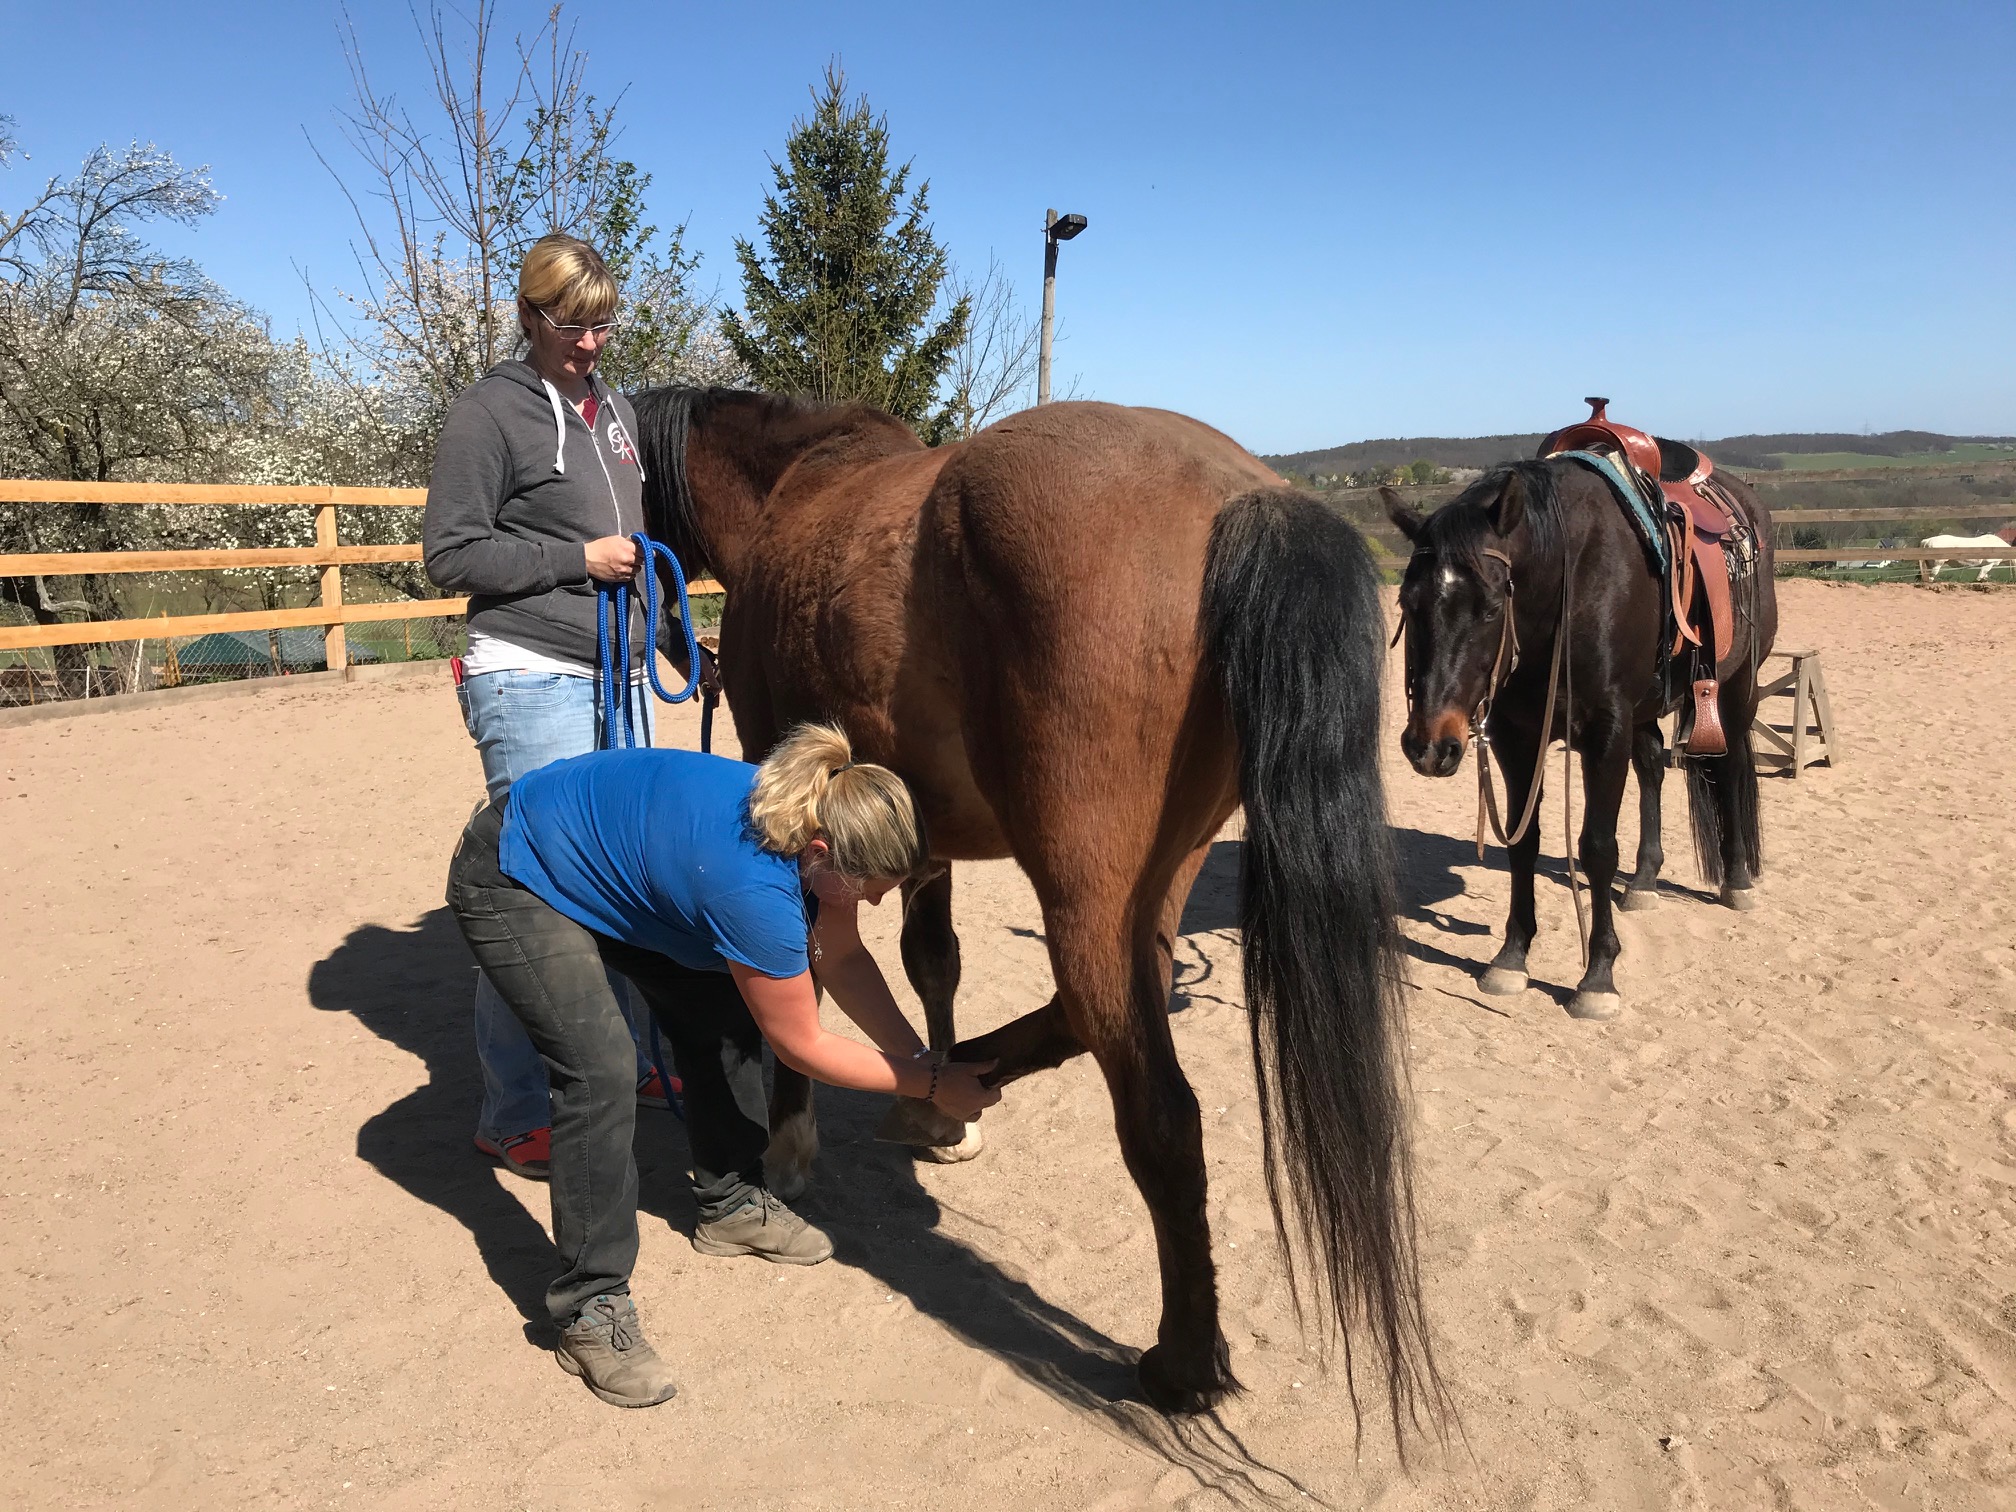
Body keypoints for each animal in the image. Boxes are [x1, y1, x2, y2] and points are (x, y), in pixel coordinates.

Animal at [637, 387, 1443, 1435]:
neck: (799, 484)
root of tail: (1241, 497)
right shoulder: (921, 830)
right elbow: (932, 957)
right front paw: (941, 1110)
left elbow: (806, 976)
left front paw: (791, 1138)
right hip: (1155, 883)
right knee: (1086, 1010)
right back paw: (951, 1081)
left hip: (1085, 892)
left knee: (1158, 1110)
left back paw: (1182, 1364)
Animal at [1387, 465, 1782, 1020]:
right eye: (1409, 604)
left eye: (1490, 609)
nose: (1429, 745)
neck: (1563, 588)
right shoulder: (1517, 737)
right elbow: (1523, 842)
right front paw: (1511, 956)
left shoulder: (1605, 734)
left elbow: (1596, 848)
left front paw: (1597, 977)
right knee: (1653, 766)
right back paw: (1645, 881)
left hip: (1734, 690)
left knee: (1728, 771)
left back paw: (1738, 880)